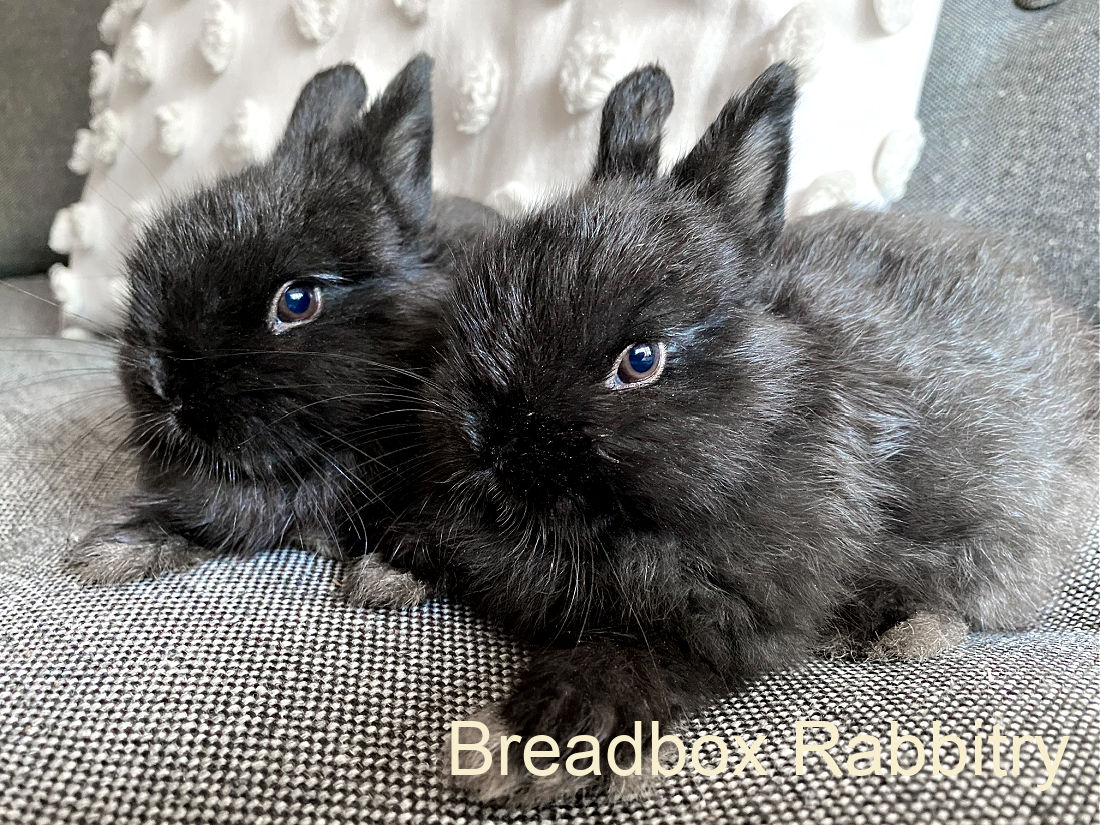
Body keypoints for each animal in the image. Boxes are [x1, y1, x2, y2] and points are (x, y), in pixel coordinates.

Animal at [348, 63, 1098, 804]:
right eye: (478, 287)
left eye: (641, 361)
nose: (485, 436)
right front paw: (386, 569)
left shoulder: (724, 615)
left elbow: (626, 663)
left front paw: (521, 746)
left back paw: (899, 633)